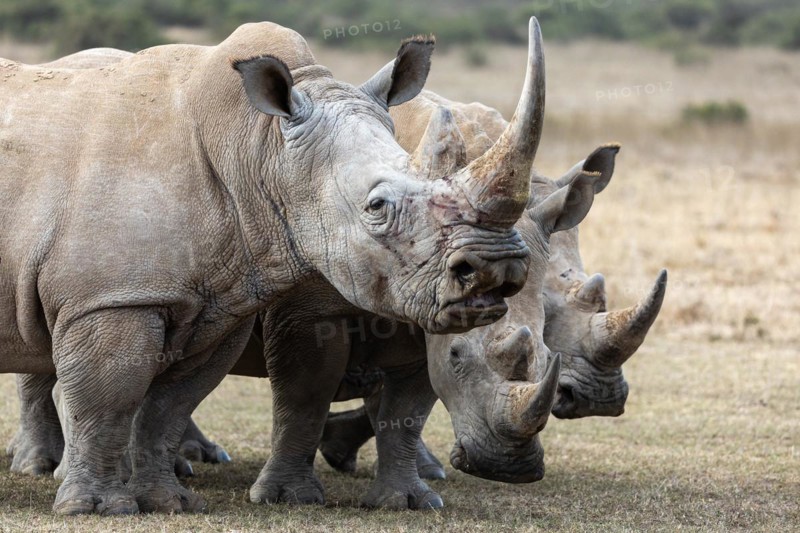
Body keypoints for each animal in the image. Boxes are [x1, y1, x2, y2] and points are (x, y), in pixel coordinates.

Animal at [0, 18, 545, 515]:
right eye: (377, 207)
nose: (497, 269)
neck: (259, 146)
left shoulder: (220, 304)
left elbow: (168, 405)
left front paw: (169, 503)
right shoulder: (110, 297)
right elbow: (109, 398)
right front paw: (98, 509)